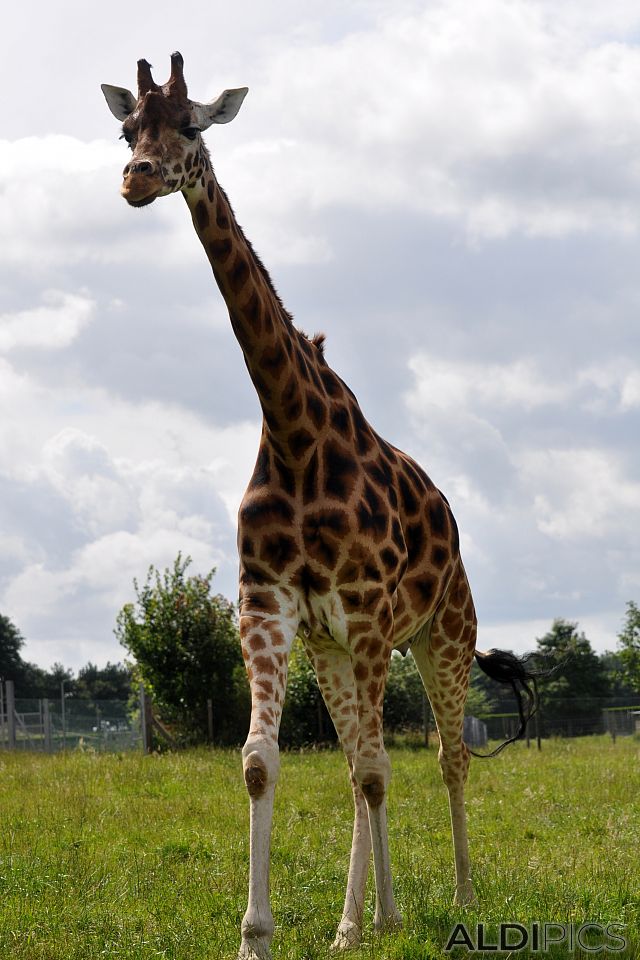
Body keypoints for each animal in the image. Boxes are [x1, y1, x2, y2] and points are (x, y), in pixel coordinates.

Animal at [102, 52, 536, 960]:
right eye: (127, 131)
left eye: (190, 124)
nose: (137, 178)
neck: (294, 431)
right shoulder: (269, 605)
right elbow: (263, 761)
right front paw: (262, 934)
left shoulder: (367, 610)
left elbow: (378, 769)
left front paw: (392, 917)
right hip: (334, 647)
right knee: (359, 761)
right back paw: (350, 923)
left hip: (442, 633)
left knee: (442, 757)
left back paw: (456, 896)